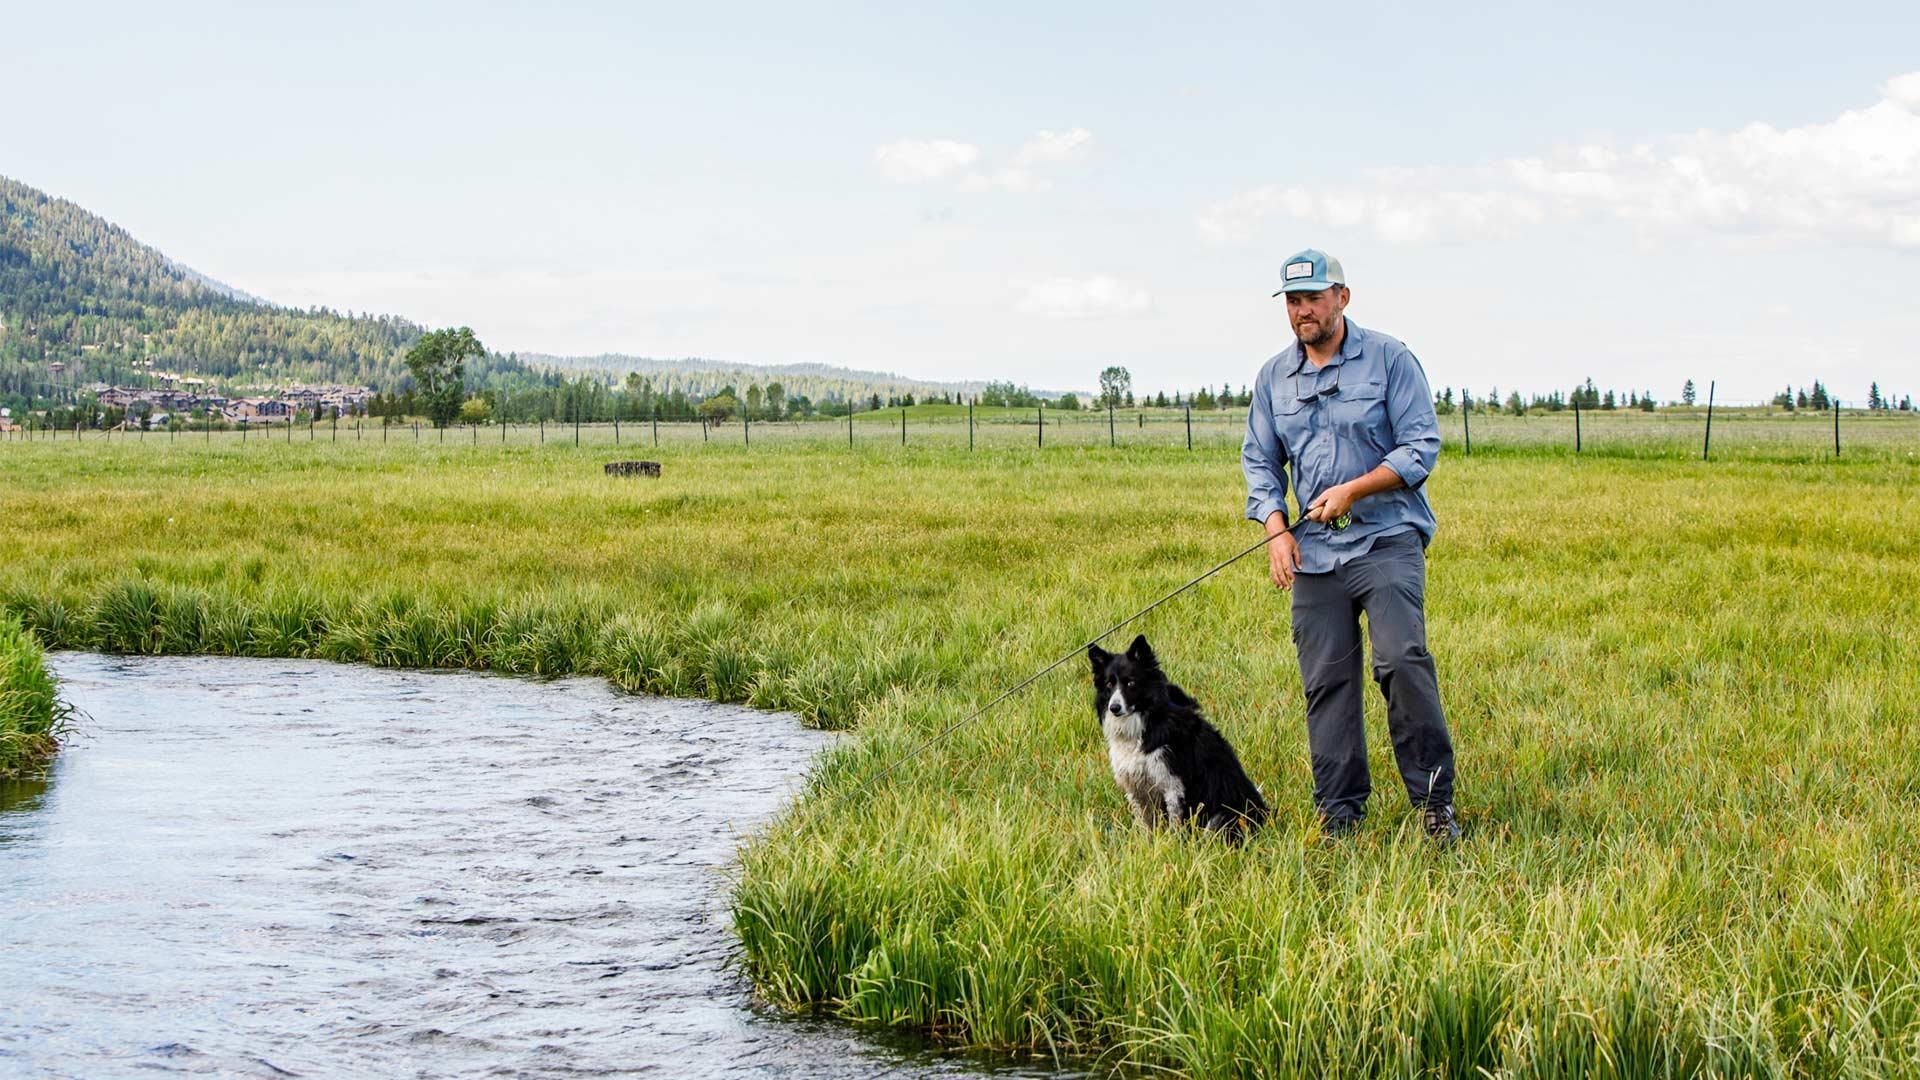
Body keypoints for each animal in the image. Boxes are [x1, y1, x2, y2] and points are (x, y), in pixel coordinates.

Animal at [1090, 630, 1267, 834]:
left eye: (1131, 683)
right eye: (1109, 684)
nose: (1114, 708)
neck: (1146, 722)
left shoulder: (1173, 784)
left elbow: (1176, 825)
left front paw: (1173, 842)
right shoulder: (1137, 788)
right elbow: (1146, 825)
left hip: (1223, 816)